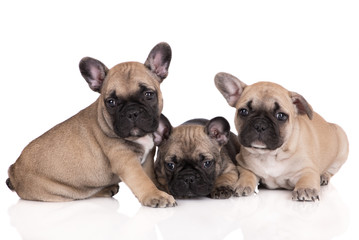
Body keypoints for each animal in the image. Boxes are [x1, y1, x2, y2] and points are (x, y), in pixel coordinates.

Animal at [6, 42, 177, 207]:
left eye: (149, 95)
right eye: (111, 102)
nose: (132, 112)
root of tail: (13, 171)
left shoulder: (147, 158)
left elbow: (150, 177)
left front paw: (158, 188)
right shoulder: (126, 161)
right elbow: (142, 180)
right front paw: (156, 195)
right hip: (60, 191)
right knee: (82, 195)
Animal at [215, 72, 350, 202]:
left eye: (281, 116)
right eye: (243, 111)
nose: (260, 125)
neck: (270, 155)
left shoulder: (308, 169)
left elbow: (307, 178)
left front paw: (306, 189)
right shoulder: (243, 165)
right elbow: (247, 174)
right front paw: (242, 184)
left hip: (342, 145)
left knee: (331, 170)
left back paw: (324, 176)